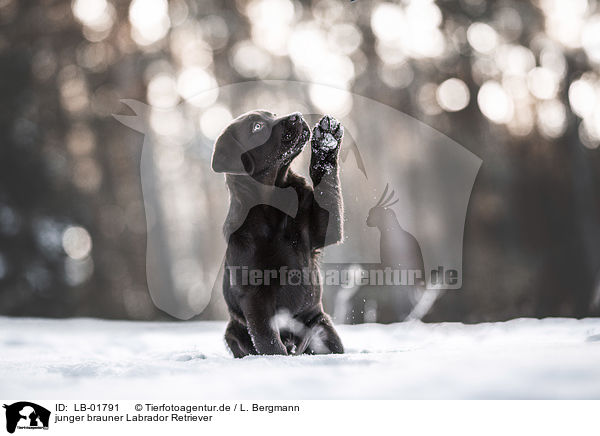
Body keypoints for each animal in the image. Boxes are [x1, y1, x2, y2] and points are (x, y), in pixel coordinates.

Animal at [212, 110, 344, 358]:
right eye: (257, 127)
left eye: (271, 114)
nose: (297, 115)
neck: (276, 203)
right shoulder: (254, 293)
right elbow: (267, 336)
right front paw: (277, 359)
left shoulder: (324, 229)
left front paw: (326, 140)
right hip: (232, 331)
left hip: (321, 326)